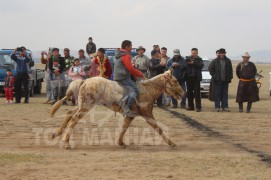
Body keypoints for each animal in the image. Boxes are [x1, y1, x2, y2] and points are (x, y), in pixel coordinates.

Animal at [50, 69, 187, 148]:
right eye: (175, 81)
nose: (183, 93)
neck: (147, 90)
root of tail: (85, 81)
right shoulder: (147, 115)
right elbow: (158, 128)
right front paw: (171, 143)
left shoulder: (131, 115)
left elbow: (124, 128)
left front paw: (121, 143)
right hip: (86, 106)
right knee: (74, 119)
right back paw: (66, 142)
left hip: (81, 105)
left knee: (69, 114)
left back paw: (56, 133)